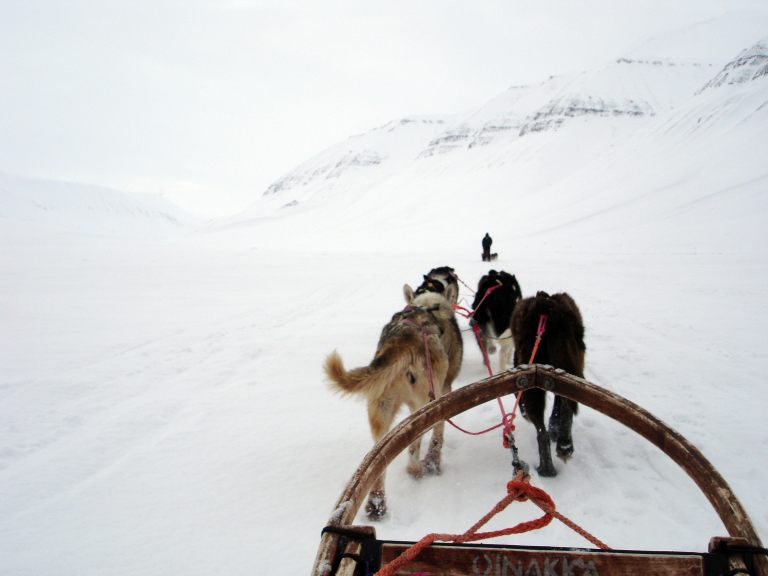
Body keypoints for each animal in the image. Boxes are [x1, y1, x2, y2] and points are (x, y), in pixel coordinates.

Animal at [322, 286, 462, 520]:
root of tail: (402, 338)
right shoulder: (445, 391)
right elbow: (438, 435)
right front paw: (433, 461)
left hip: (380, 408)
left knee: (379, 457)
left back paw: (376, 503)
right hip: (425, 402)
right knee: (414, 445)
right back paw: (416, 470)